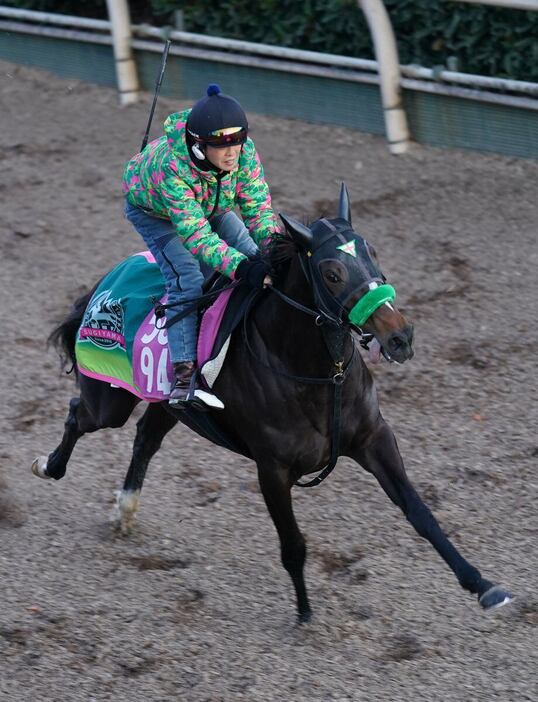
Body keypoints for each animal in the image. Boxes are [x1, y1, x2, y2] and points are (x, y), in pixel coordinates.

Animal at [33, 186, 510, 620]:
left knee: (146, 437)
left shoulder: (374, 438)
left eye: (372, 252)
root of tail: (108, 279)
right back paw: (49, 466)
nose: (400, 337)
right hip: (108, 399)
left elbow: (420, 512)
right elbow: (294, 544)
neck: (316, 374)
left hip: (169, 405)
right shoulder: (273, 469)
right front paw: (304, 612)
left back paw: (125, 507)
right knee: (79, 415)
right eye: (332, 273)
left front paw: (483, 585)